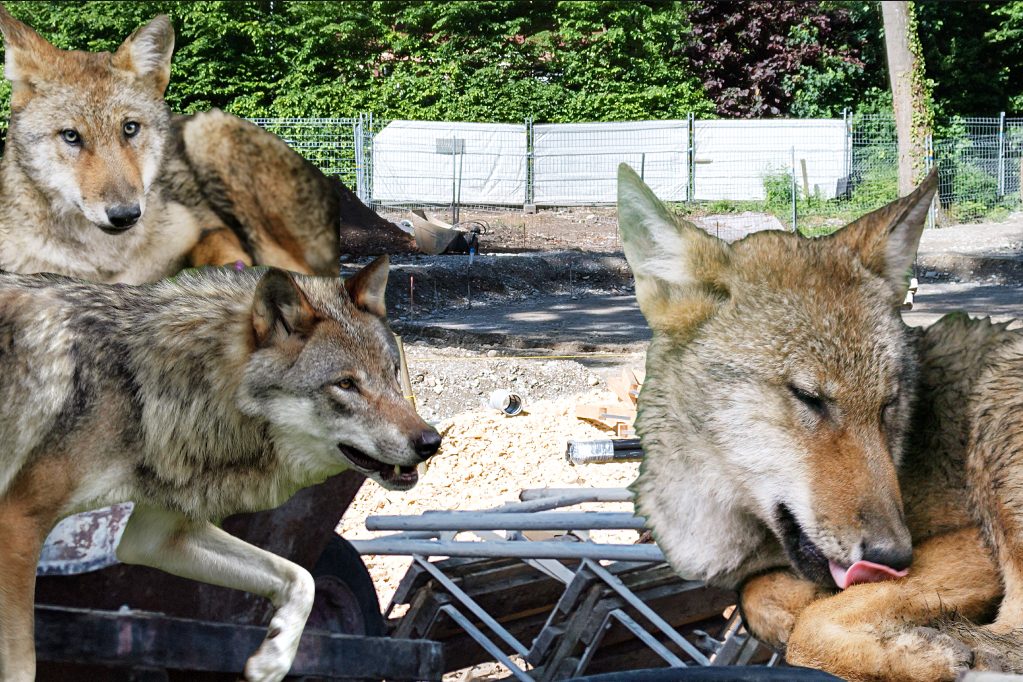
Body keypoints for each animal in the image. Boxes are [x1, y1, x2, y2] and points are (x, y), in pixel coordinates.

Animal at [0, 5, 411, 284]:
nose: (126, 215)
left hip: (208, 134)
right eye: (71, 136)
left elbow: (222, 252)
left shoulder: (208, 228)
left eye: (130, 129)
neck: (109, 261)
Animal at [0, 257, 437, 682]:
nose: (431, 441)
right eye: (346, 385)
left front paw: (273, 659)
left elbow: (302, 578)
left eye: (392, 373)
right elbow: (23, 665)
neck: (141, 387)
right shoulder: (18, 522)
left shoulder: (154, 538)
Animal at [613, 166, 1023, 682]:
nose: (895, 557)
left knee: (1006, 642)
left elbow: (807, 632)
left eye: (888, 405)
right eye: (809, 397)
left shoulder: (970, 544)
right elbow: (761, 596)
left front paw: (918, 654)